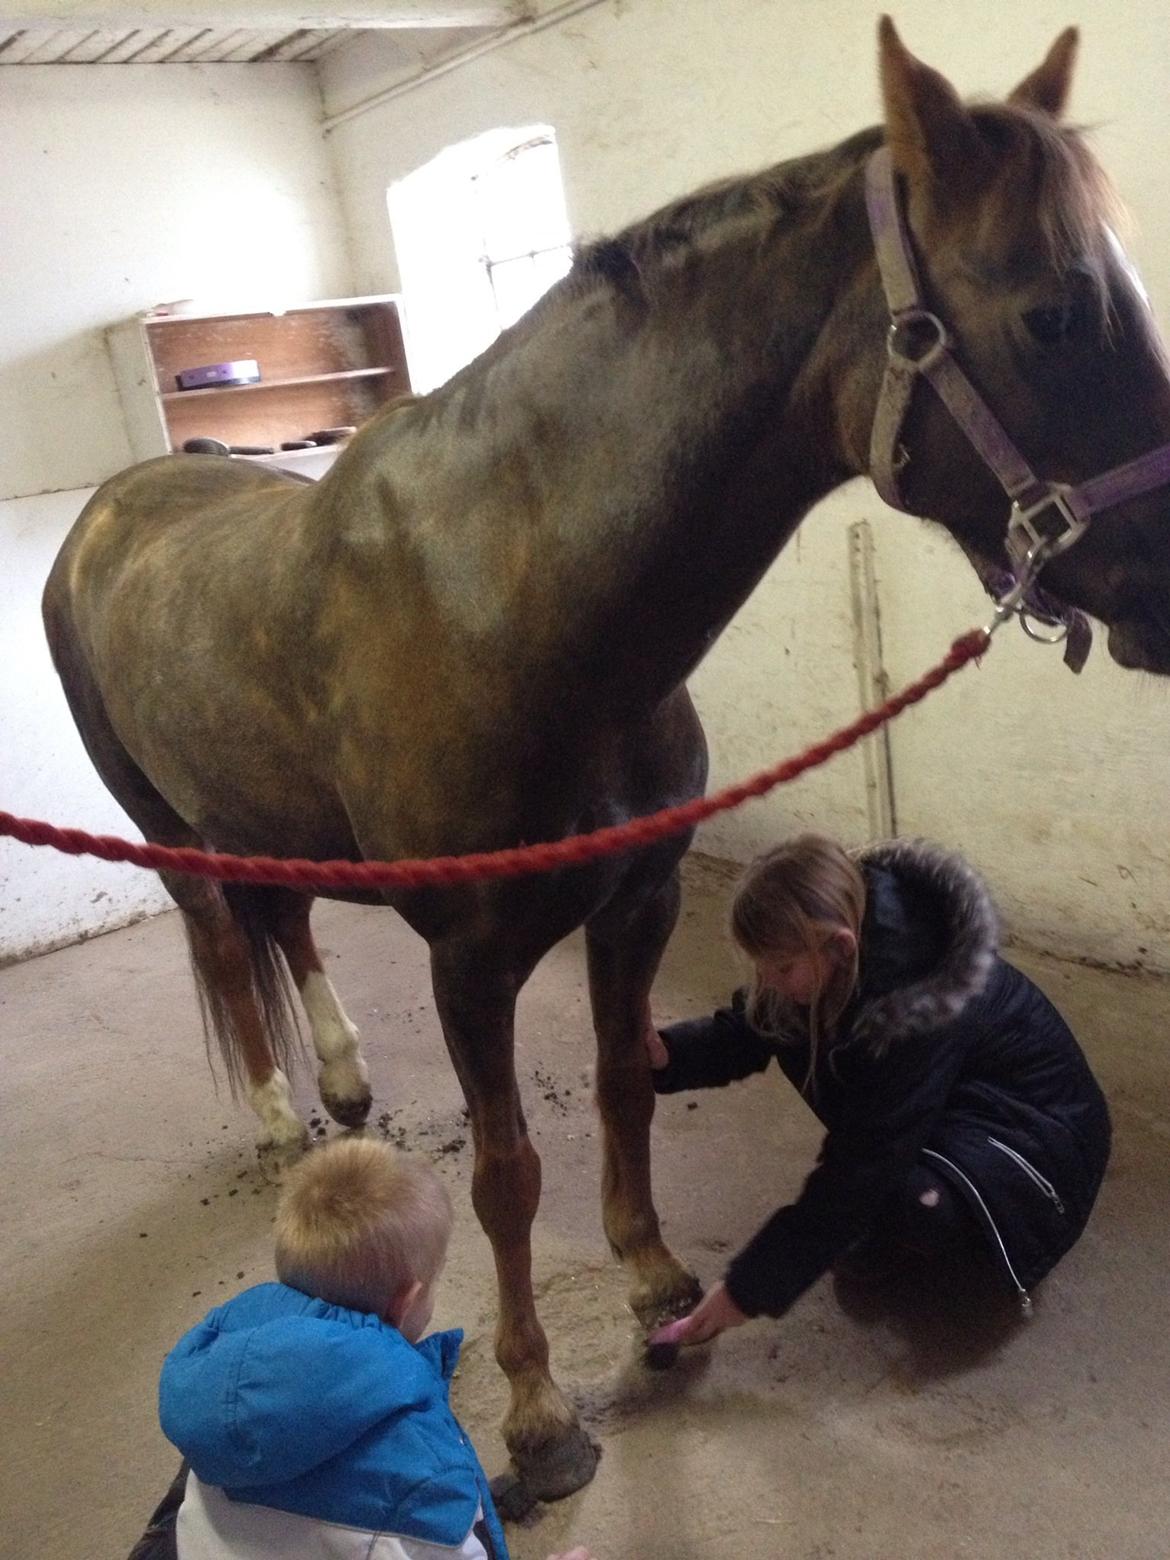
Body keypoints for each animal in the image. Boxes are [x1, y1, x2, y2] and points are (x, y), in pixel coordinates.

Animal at [43, 18, 1170, 1498]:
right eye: (1053, 312)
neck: (517, 604)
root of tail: (106, 508)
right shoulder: (469, 961)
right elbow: (506, 1173)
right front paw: (536, 1412)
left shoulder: (640, 896)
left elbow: (630, 1082)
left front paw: (650, 1282)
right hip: (164, 829)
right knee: (228, 948)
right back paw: (281, 1115)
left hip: (259, 814)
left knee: (285, 928)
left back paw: (342, 1084)